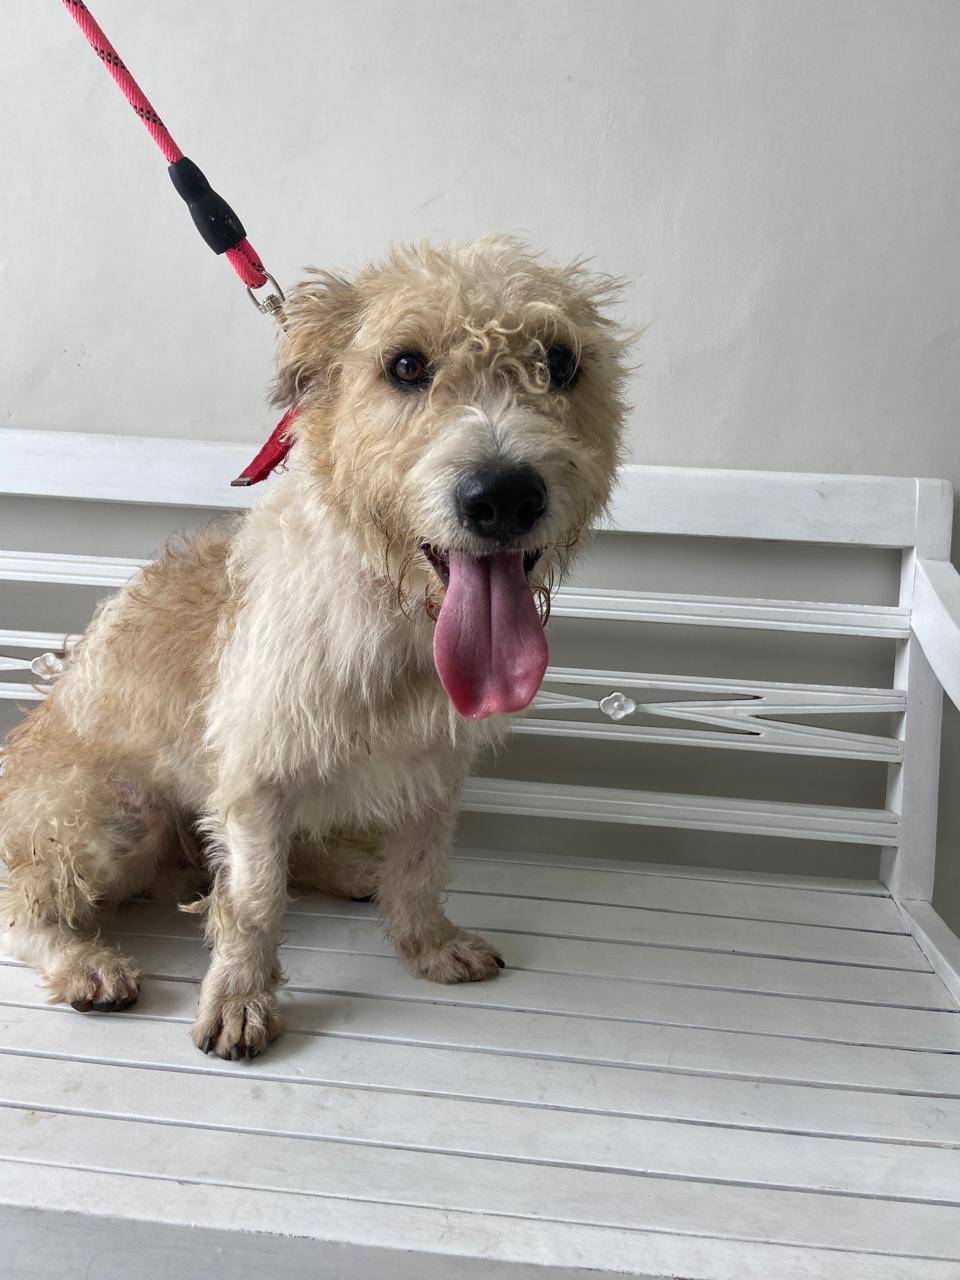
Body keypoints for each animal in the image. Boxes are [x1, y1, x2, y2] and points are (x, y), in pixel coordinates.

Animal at [0, 237, 628, 1059]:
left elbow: (421, 866)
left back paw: (351, 870)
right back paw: (86, 963)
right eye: (405, 365)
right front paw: (239, 999)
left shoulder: (434, 769)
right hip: (117, 815)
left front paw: (428, 944)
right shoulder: (255, 778)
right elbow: (254, 901)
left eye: (560, 361)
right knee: (23, 900)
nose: (503, 496)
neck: (396, 616)